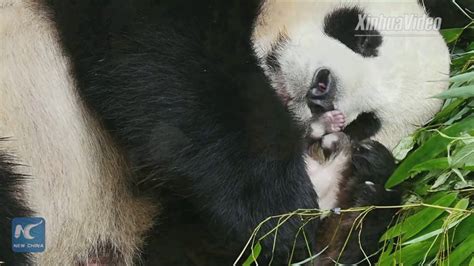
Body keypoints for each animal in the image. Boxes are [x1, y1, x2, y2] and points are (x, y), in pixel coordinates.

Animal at [0, 0, 448, 264]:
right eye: (362, 34)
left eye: (366, 122)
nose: (322, 93)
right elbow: (167, 41)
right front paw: (277, 197)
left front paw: (356, 197)